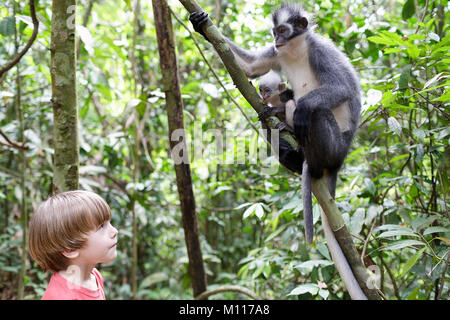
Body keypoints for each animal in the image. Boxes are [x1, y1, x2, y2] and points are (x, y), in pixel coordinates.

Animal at [188, 3, 368, 300]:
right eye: (274, 32)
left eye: (283, 30)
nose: (277, 40)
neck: (296, 50)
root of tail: (339, 160)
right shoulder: (277, 55)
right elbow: (249, 68)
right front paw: (201, 23)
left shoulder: (321, 52)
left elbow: (343, 88)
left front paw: (300, 107)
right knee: (268, 125)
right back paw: (291, 153)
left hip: (334, 144)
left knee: (314, 111)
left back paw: (305, 148)